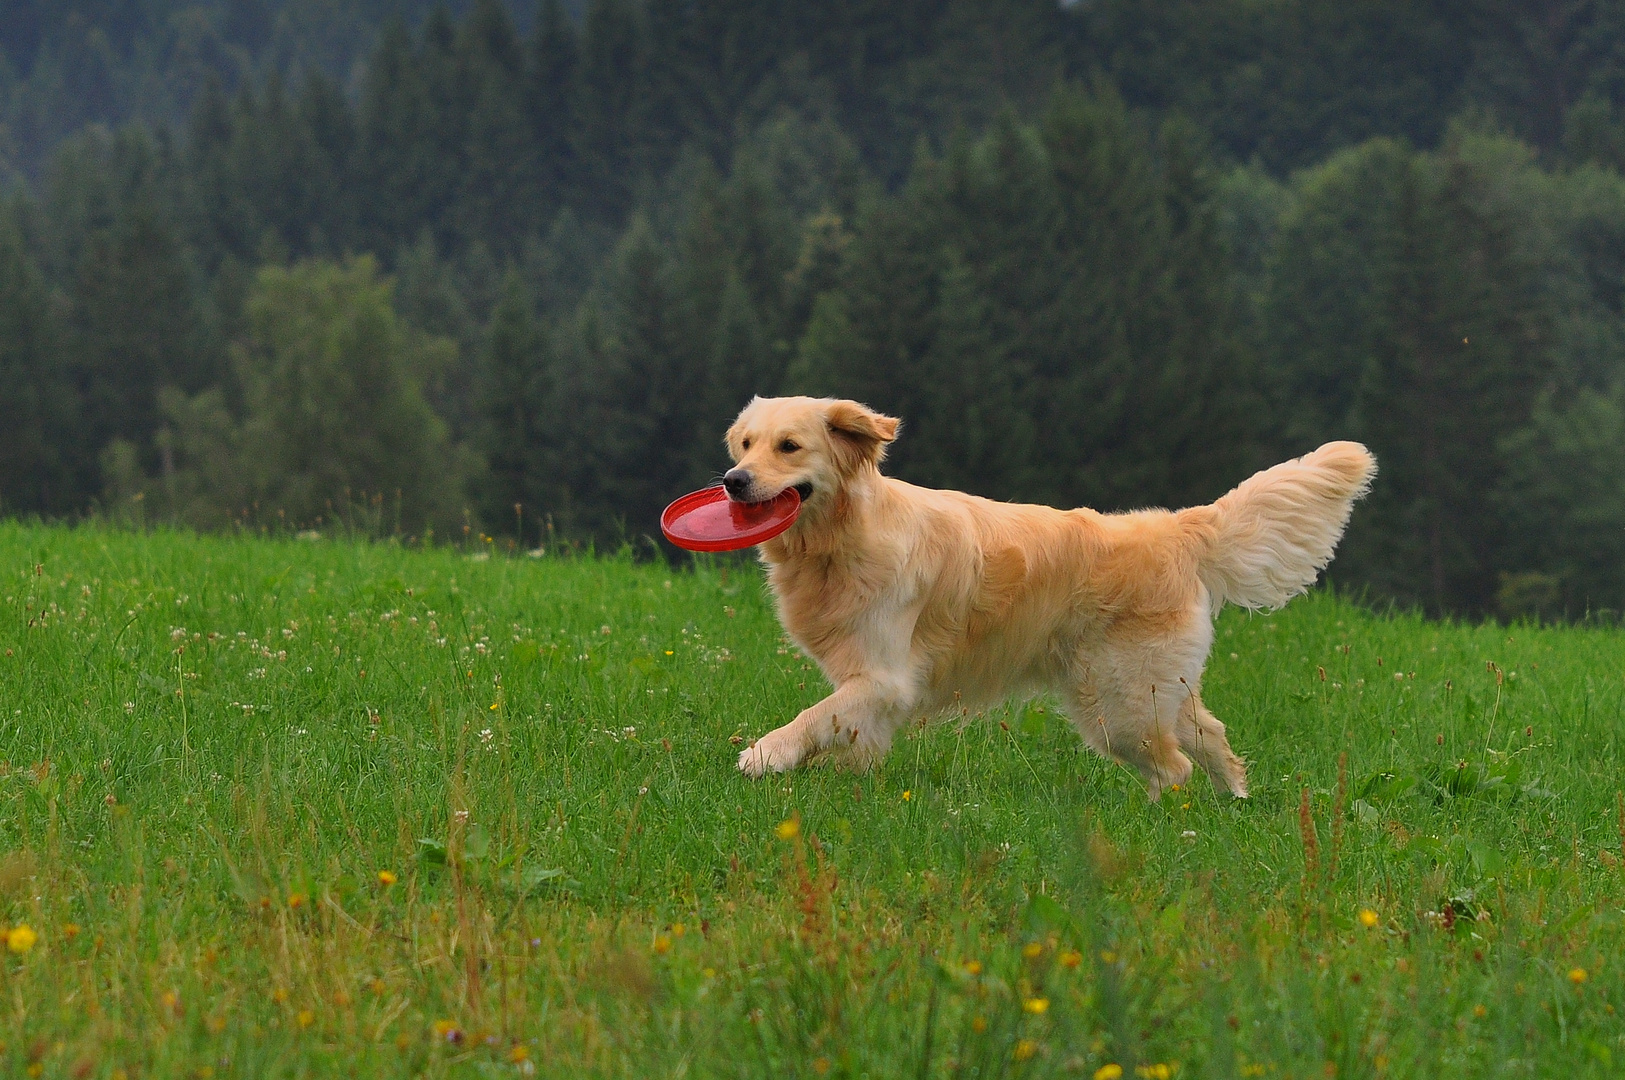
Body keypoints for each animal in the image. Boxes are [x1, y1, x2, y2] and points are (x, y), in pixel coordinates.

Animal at [731, 391, 1378, 795]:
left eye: (789, 446)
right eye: (743, 444)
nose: (732, 482)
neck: (840, 539)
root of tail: (1175, 528)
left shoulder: (884, 677)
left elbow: (816, 715)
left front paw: (766, 755)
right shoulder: (866, 681)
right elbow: (843, 729)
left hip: (1118, 702)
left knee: (1173, 768)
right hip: (1153, 690)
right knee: (1209, 737)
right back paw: (1233, 803)